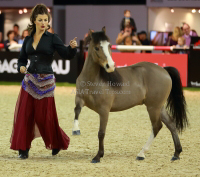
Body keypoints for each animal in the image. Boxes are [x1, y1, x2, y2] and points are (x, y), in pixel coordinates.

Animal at [72, 27, 188, 164]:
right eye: (96, 48)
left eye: (109, 45)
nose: (110, 66)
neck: (92, 80)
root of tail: (164, 70)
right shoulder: (80, 99)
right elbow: (77, 110)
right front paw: (76, 129)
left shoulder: (104, 110)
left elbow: (101, 133)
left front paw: (98, 156)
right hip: (159, 107)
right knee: (171, 123)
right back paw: (176, 153)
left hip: (153, 108)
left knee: (156, 126)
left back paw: (141, 154)